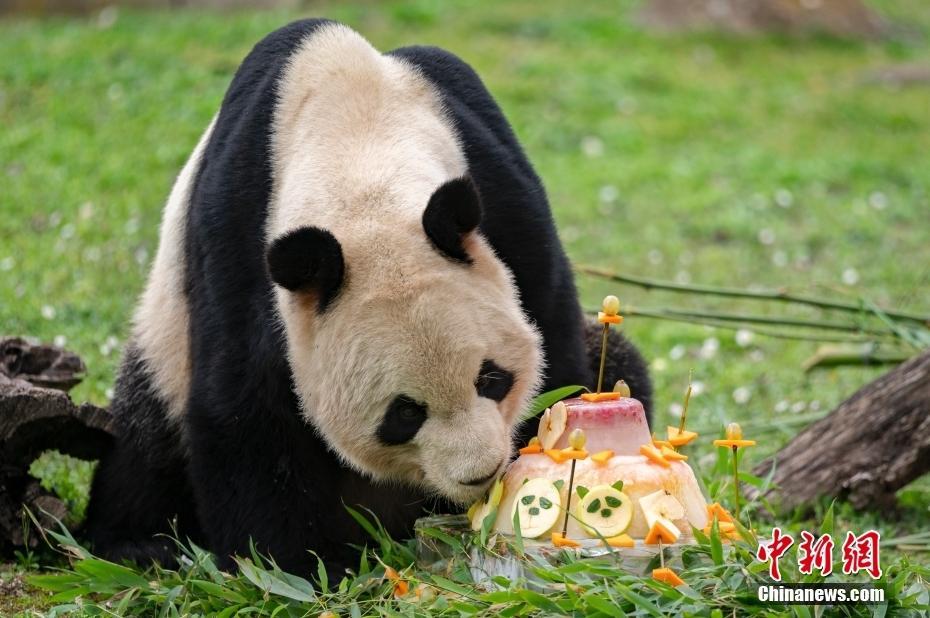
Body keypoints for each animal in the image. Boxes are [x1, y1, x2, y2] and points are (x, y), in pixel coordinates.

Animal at [87, 20, 648, 576]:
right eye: (403, 414)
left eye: (491, 379)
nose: (480, 473)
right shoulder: (237, 233)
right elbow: (244, 405)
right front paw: (294, 566)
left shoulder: (499, 188)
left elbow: (557, 350)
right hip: (163, 349)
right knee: (146, 443)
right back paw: (140, 545)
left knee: (619, 360)